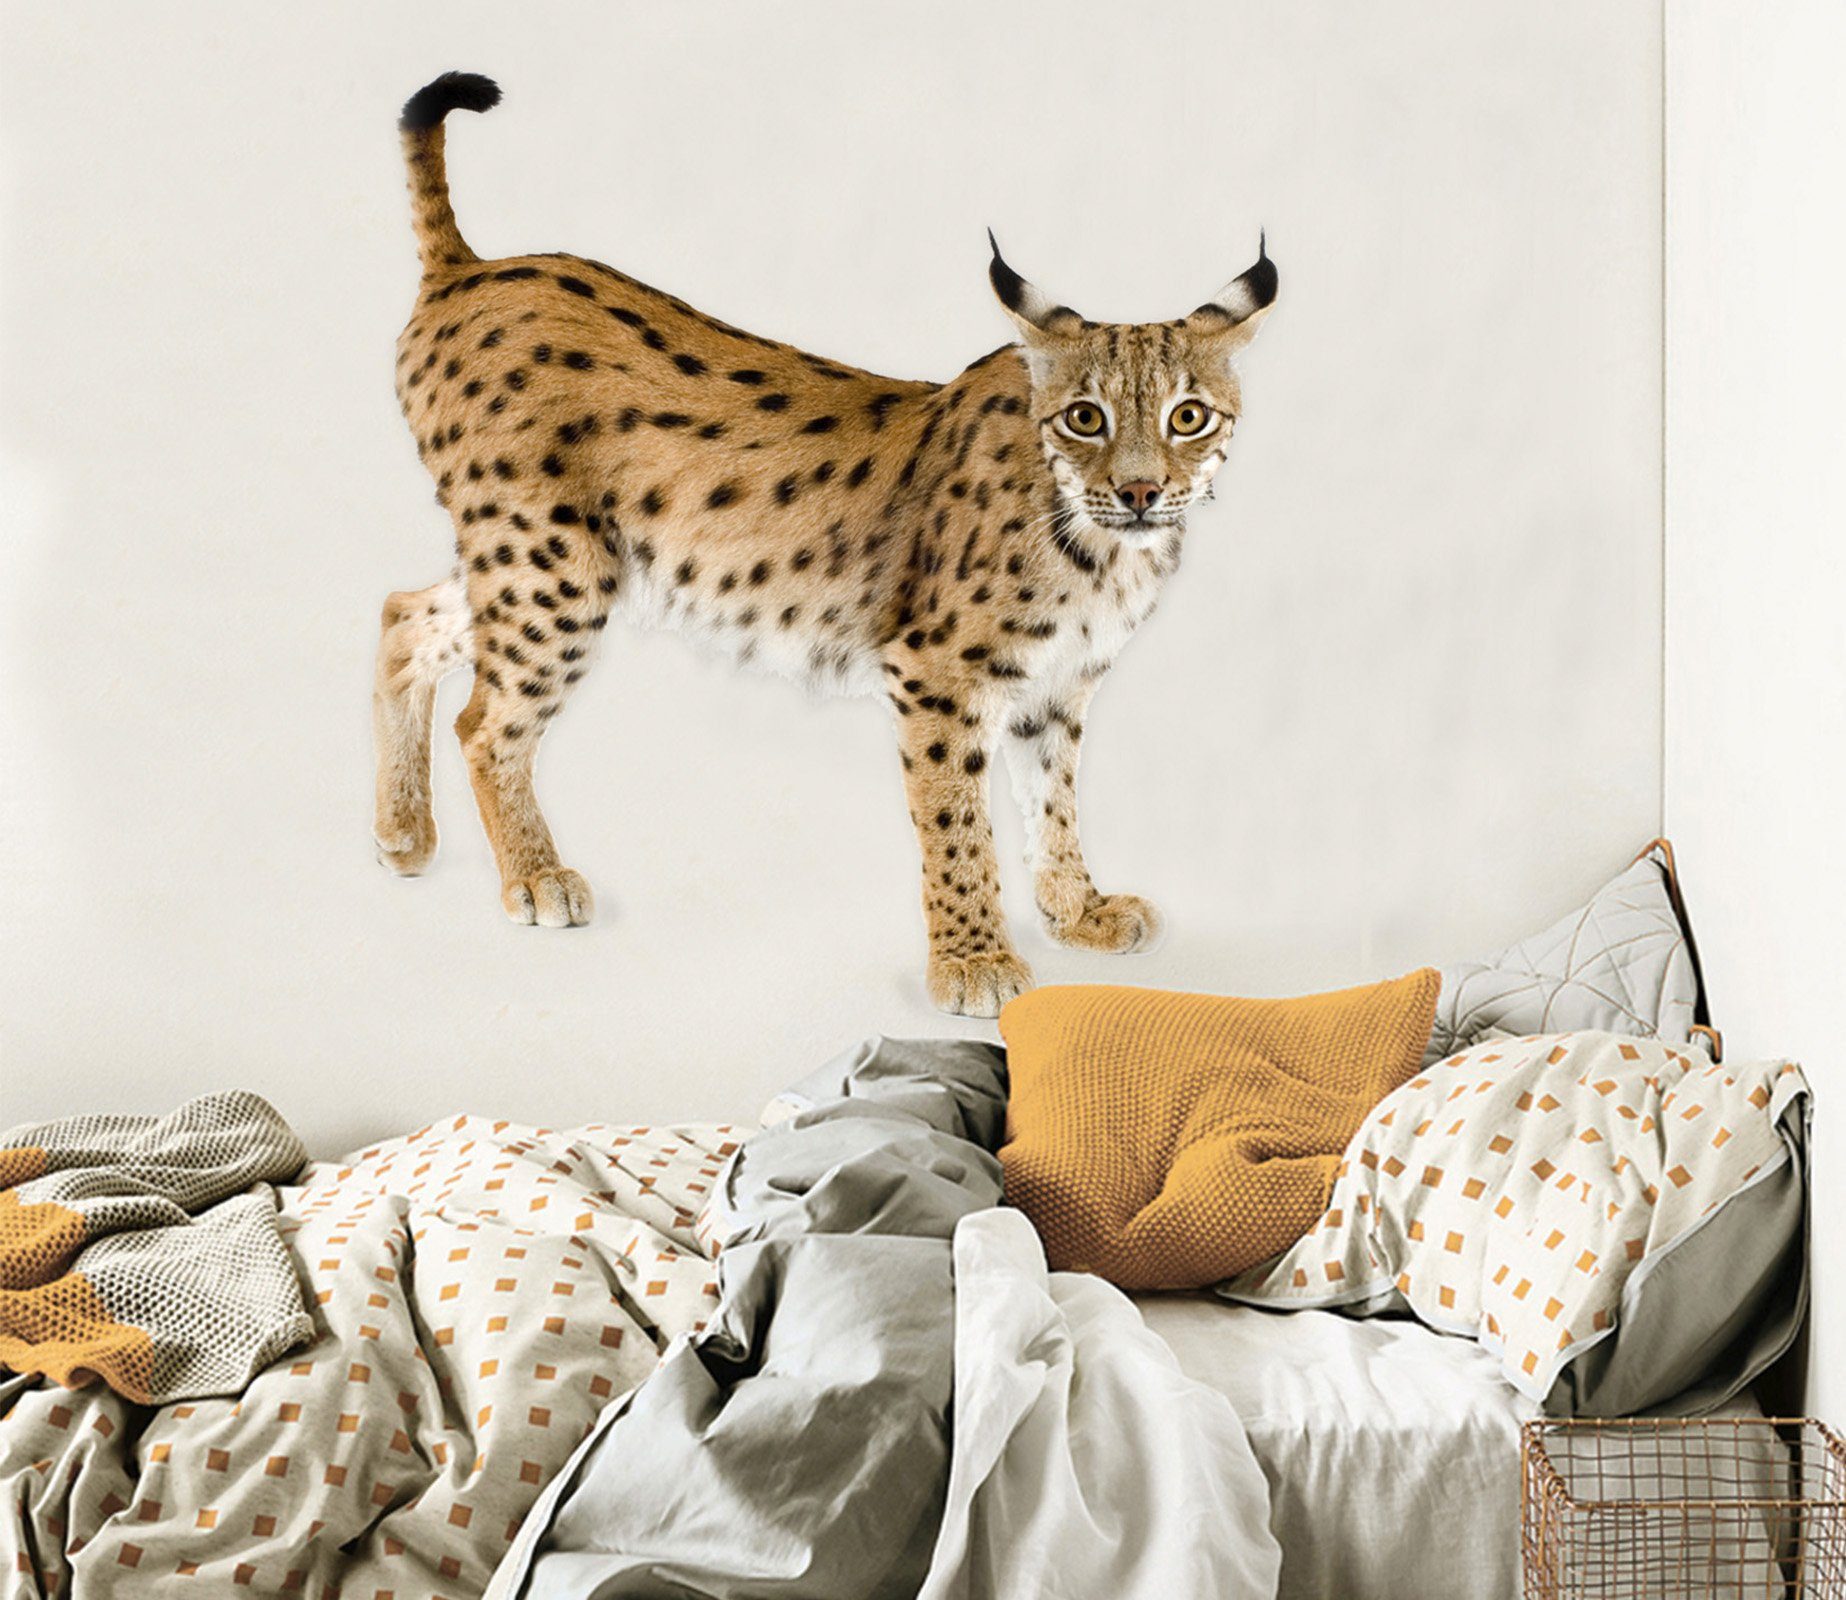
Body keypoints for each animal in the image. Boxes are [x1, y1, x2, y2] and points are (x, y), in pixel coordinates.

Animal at [374, 72, 1278, 1017]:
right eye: (1085, 419)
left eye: (1188, 417)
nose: (1142, 493)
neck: (1101, 545)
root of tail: (472, 268)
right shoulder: (936, 672)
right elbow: (958, 818)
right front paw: (972, 961)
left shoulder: (1057, 682)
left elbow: (1053, 801)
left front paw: (1076, 912)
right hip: (555, 564)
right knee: (484, 720)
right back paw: (534, 875)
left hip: (539, 557)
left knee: (404, 611)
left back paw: (402, 835)